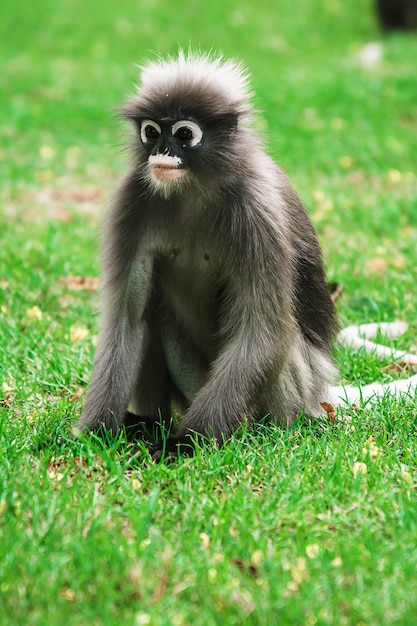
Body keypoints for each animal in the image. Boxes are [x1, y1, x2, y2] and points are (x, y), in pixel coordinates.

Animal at [75, 52, 416, 454]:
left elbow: (263, 331)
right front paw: (93, 435)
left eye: (184, 134)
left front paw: (183, 445)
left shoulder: (257, 210)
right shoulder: (132, 201)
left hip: (290, 394)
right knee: (152, 315)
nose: (160, 152)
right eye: (151, 132)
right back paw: (147, 423)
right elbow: (126, 320)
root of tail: (322, 396)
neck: (193, 190)